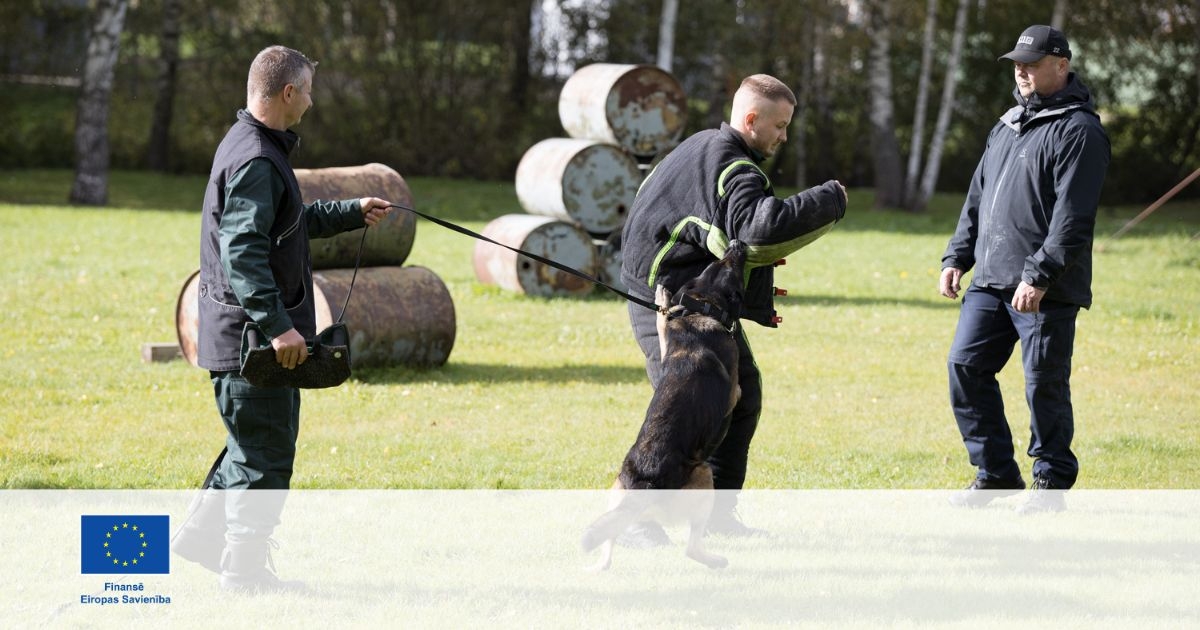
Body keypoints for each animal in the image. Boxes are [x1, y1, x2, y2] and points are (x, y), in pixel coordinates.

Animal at [583, 238, 748, 566]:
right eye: (731, 266)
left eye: (717, 261)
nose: (737, 243)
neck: (701, 308)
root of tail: (644, 485)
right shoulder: (733, 391)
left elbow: (661, 322)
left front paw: (663, 298)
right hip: (703, 476)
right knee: (691, 548)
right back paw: (717, 561)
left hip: (615, 494)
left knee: (609, 539)